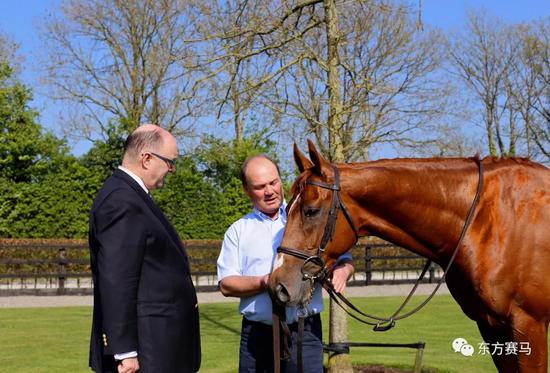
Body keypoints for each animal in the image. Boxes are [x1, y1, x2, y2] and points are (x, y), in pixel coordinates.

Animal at [270, 140, 550, 372]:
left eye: (311, 211)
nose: (278, 285)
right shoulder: (491, 326)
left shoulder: (528, 326)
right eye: (286, 207)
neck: (490, 219)